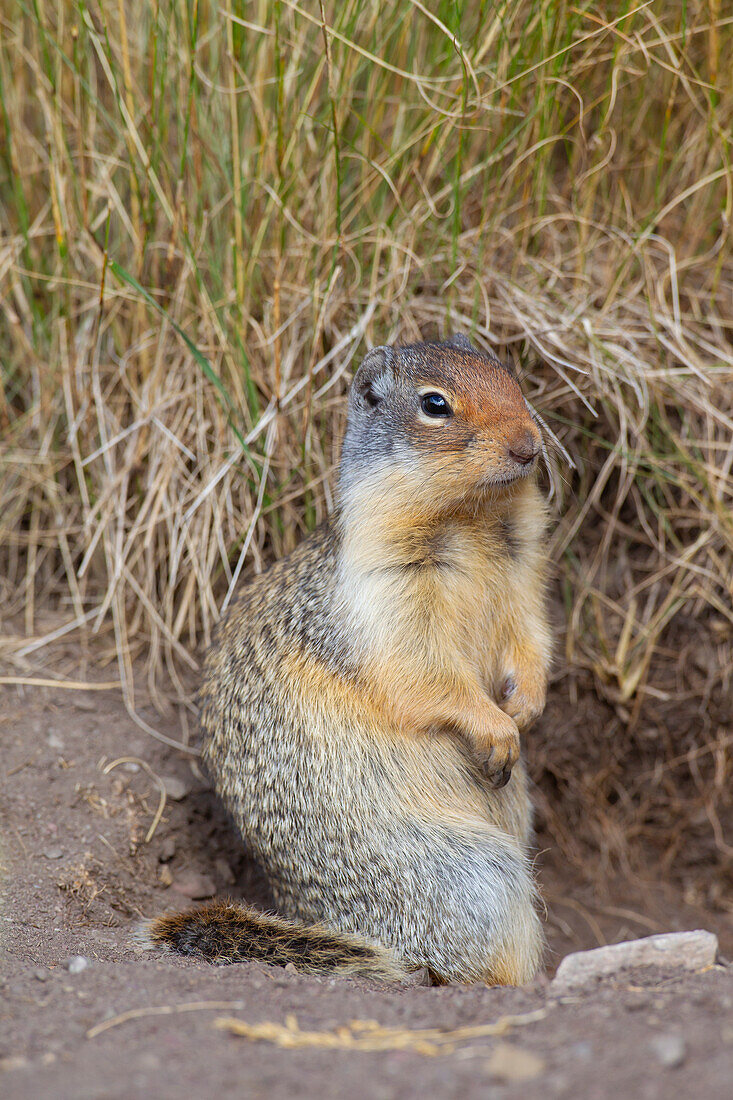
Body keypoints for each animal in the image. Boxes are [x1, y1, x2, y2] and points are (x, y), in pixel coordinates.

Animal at [144, 332, 548, 981]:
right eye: (435, 404)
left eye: (510, 378)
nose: (529, 445)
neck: (474, 521)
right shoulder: (387, 595)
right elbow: (426, 676)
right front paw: (497, 731)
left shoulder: (525, 579)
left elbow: (531, 640)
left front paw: (528, 706)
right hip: (472, 877)